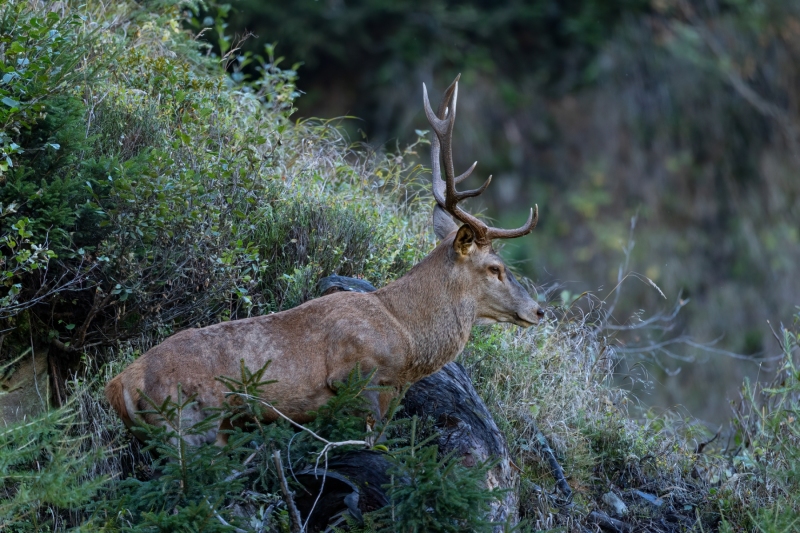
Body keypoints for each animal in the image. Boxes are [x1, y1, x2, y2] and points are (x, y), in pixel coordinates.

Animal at [105, 76, 544, 446]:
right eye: (495, 268)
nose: (538, 310)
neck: (406, 338)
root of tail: (119, 384)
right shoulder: (358, 376)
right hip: (191, 422)